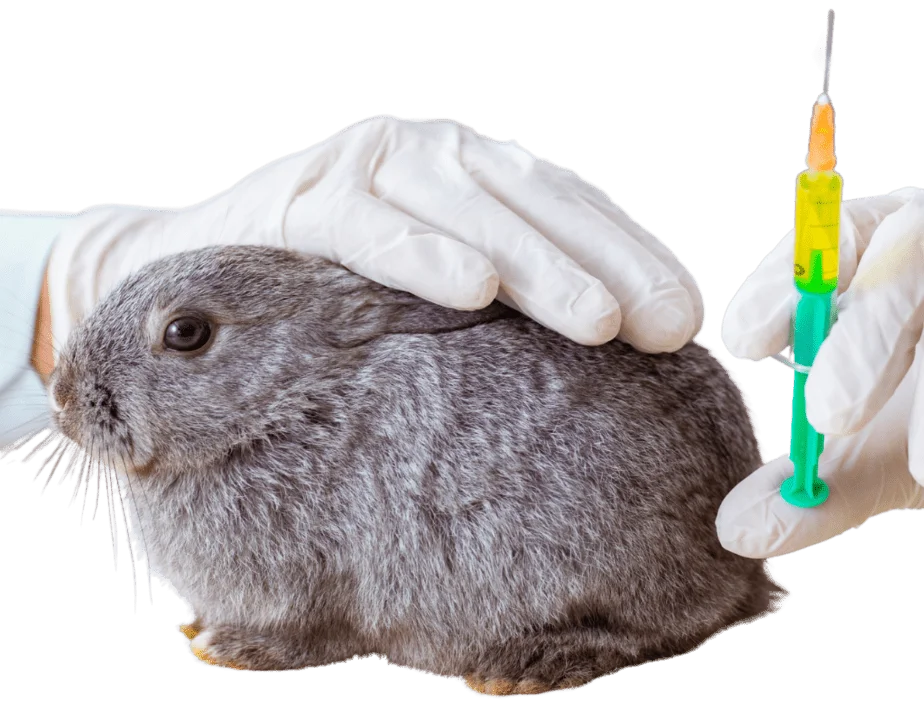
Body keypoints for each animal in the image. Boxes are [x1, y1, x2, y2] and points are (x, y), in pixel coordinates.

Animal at [48, 244, 787, 695]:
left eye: (186, 333)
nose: (61, 398)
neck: (282, 406)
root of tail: (738, 561)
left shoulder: (317, 581)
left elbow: (308, 635)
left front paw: (229, 647)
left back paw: (532, 662)